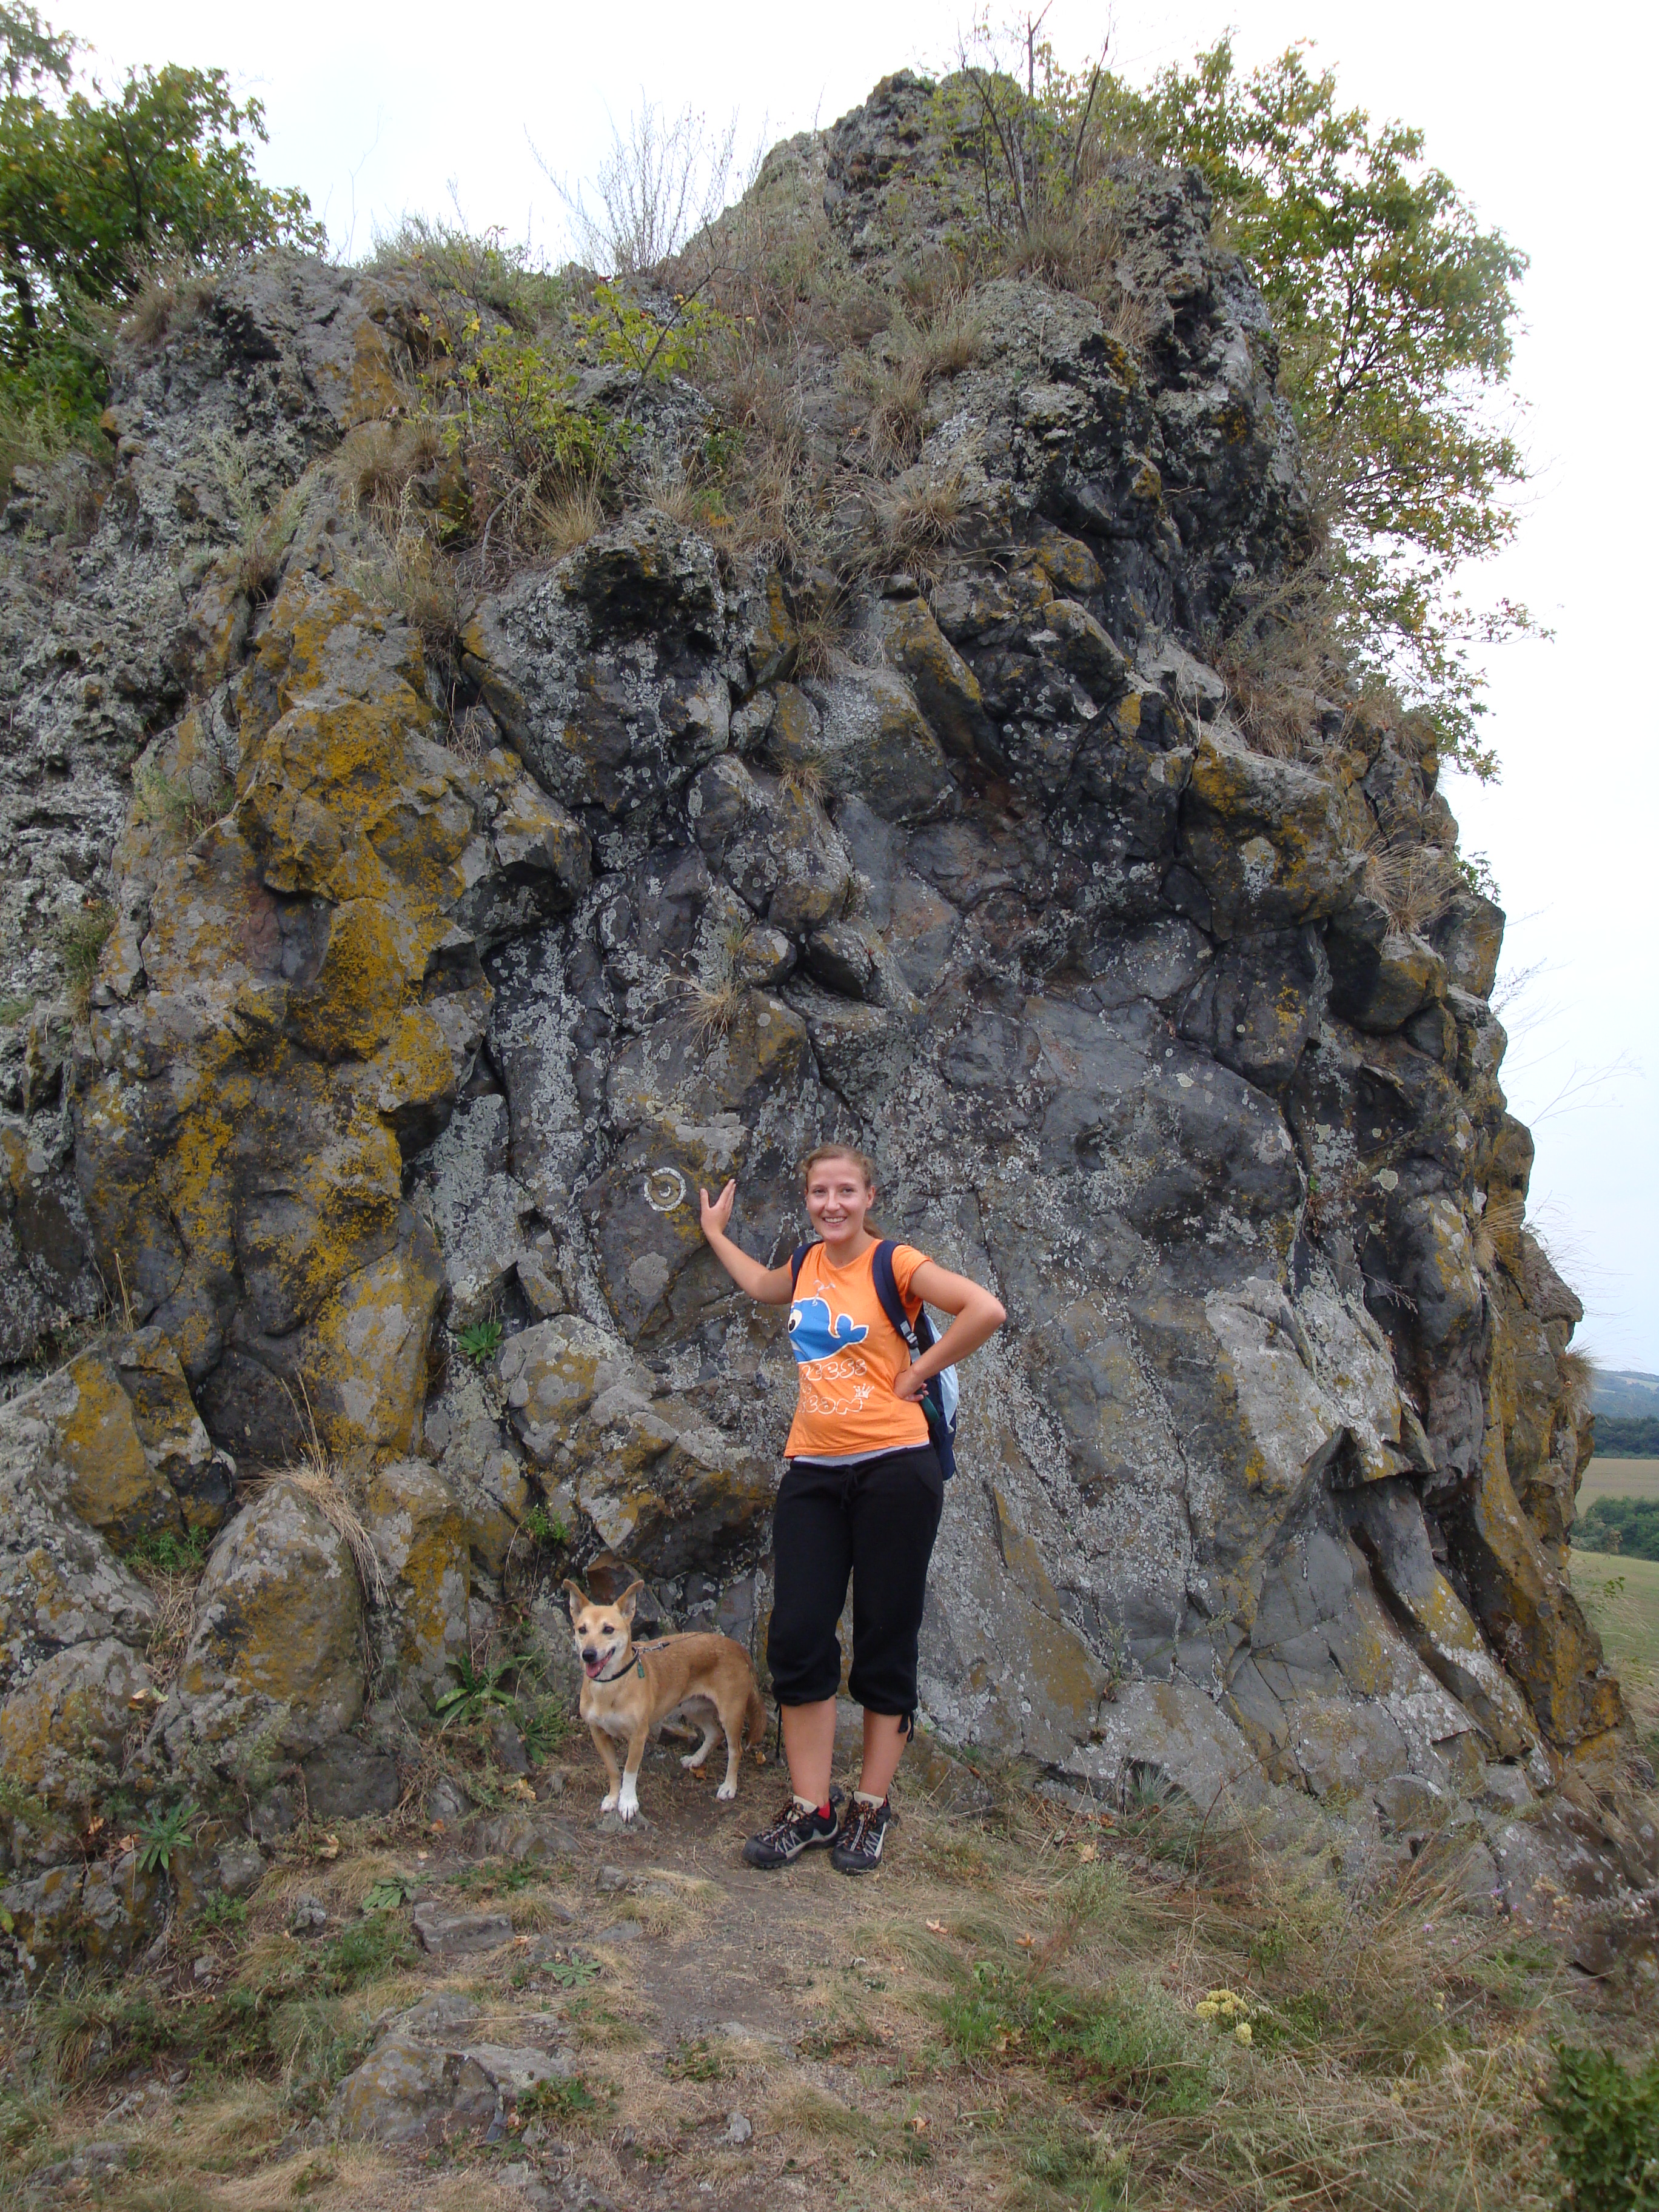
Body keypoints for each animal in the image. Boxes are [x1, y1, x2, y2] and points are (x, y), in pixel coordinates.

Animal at [564, 1578, 766, 1824]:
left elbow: (629, 1771)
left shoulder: (638, 1736)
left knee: (735, 1750)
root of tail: (736, 1646)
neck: (611, 1685)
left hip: (731, 1714)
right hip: (692, 1706)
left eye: (608, 1629)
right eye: (582, 1630)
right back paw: (696, 1760)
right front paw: (613, 1798)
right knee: (714, 1734)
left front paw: (627, 1802)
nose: (588, 1654)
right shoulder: (598, 1734)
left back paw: (729, 1787)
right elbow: (613, 1770)